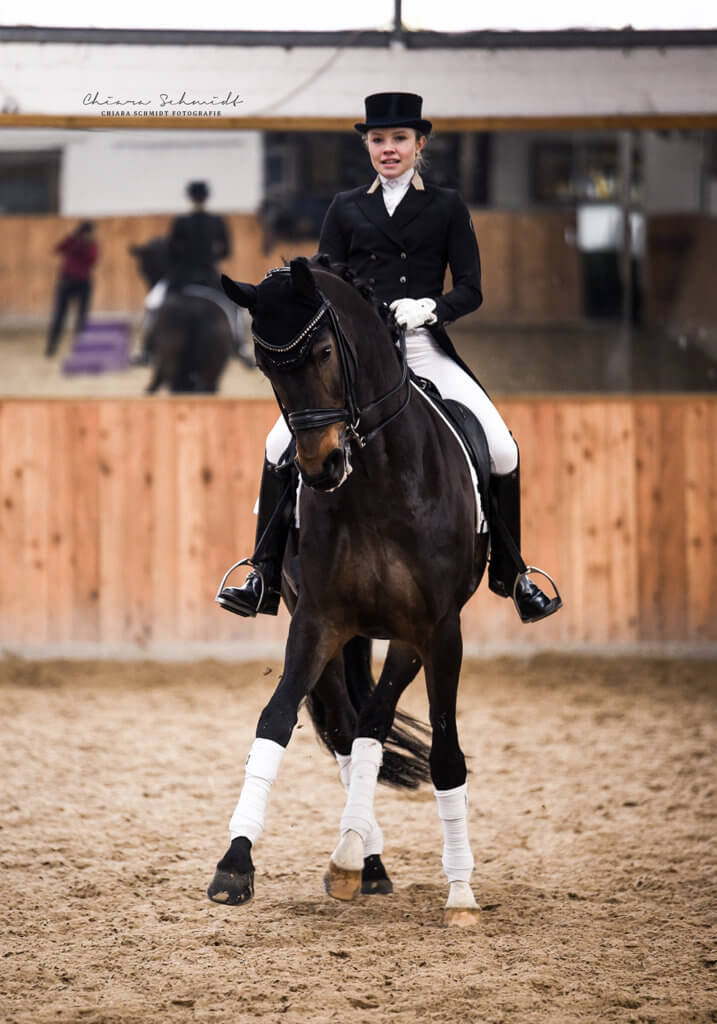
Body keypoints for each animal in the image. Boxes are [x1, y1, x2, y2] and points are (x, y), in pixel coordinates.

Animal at [204, 258, 489, 929]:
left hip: (411, 638)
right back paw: (363, 860)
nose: (321, 467)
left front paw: (461, 894)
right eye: (266, 366)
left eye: (326, 352)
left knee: (373, 724)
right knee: (348, 727)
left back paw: (360, 855)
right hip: (345, 636)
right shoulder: (318, 619)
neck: (379, 480)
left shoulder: (438, 629)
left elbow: (444, 751)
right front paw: (235, 864)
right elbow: (276, 720)